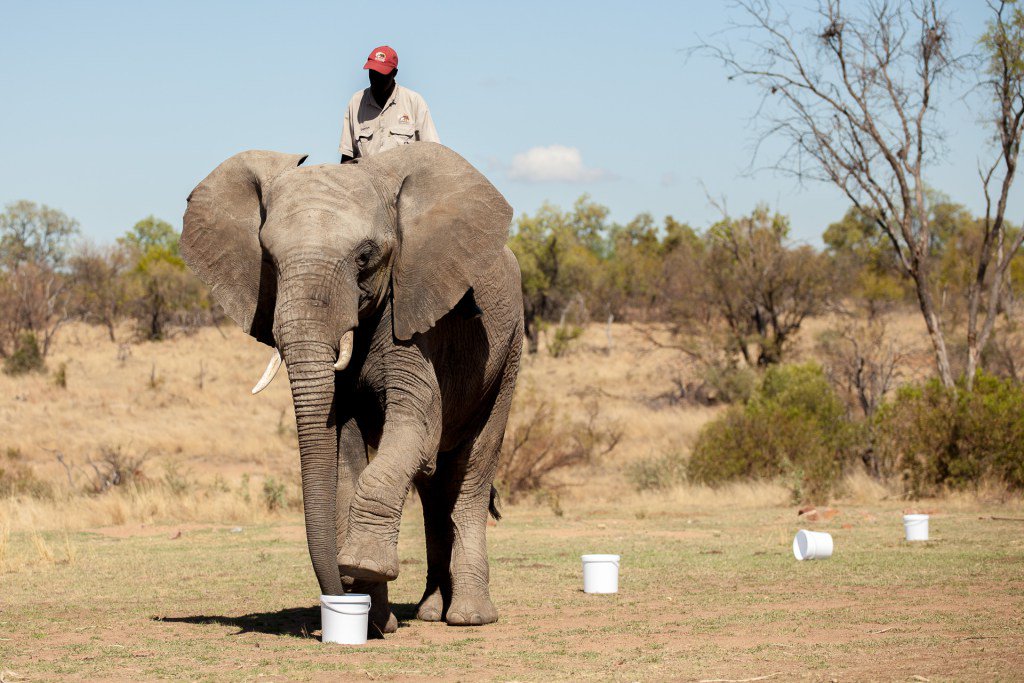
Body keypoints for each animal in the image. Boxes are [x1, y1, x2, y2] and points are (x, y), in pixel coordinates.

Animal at [181, 142, 523, 632]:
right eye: (268, 258)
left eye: (365, 256)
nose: (339, 591)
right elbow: (344, 451)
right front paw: (376, 618)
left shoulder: (416, 319)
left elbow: (416, 431)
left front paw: (362, 567)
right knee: (433, 489)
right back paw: (428, 612)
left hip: (509, 350)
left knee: (472, 471)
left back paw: (469, 617)